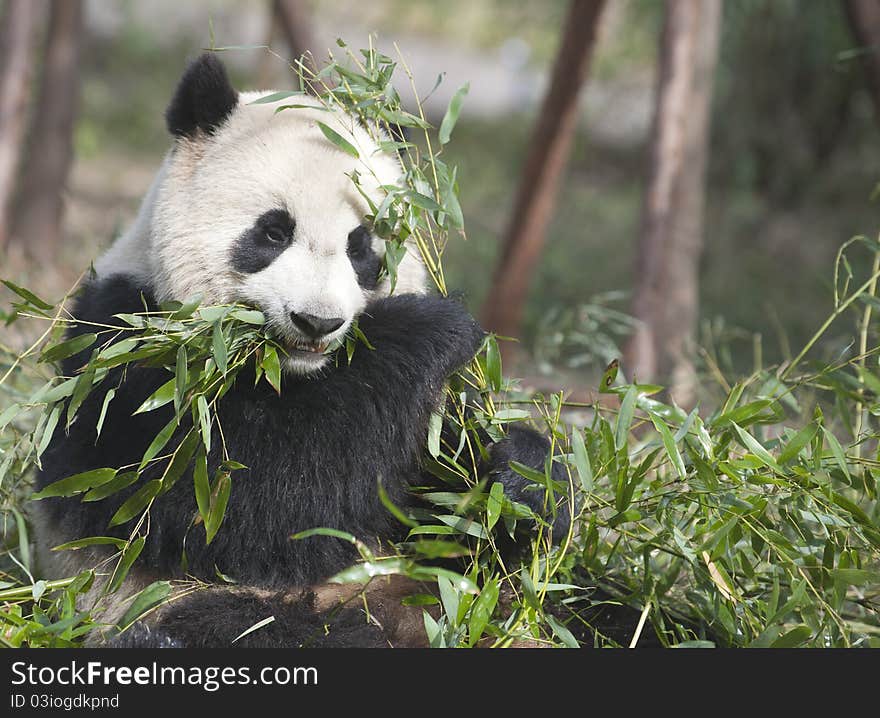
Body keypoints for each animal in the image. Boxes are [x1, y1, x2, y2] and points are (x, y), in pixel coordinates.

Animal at [32, 50, 572, 648]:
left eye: (361, 247)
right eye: (273, 232)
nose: (317, 322)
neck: (292, 373)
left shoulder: (421, 424)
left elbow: (452, 506)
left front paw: (520, 478)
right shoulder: (132, 354)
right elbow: (235, 502)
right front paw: (432, 326)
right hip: (184, 604)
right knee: (246, 630)